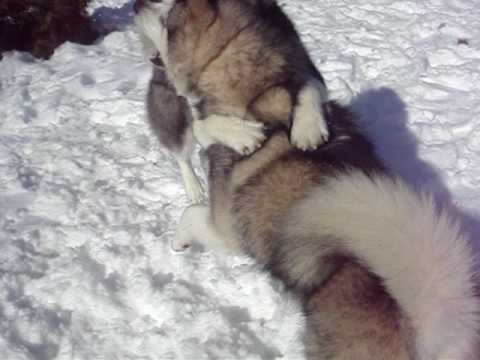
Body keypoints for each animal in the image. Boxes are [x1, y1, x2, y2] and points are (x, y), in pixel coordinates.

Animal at [133, 0, 478, 360]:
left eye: (167, 16)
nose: (134, 7)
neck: (259, 96)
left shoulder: (225, 230)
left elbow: (191, 215)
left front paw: (179, 242)